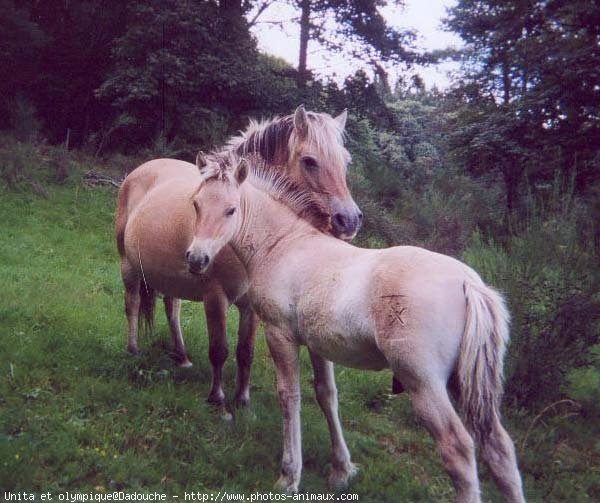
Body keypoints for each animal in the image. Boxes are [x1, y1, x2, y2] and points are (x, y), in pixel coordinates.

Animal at [116, 106, 360, 410]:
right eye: (309, 161)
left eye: (346, 162)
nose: (349, 220)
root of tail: (141, 170)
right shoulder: (214, 297)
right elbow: (219, 350)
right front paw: (217, 398)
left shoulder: (250, 306)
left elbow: (246, 352)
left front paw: (242, 398)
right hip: (128, 265)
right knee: (133, 304)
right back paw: (133, 349)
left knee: (172, 309)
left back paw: (182, 357)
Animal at [186, 158, 524, 503]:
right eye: (196, 204)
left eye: (230, 210)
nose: (196, 259)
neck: (281, 244)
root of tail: (469, 283)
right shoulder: (317, 344)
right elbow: (327, 395)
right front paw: (342, 471)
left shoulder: (280, 335)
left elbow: (289, 397)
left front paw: (289, 476)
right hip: (466, 384)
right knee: (500, 449)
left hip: (424, 383)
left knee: (458, 448)